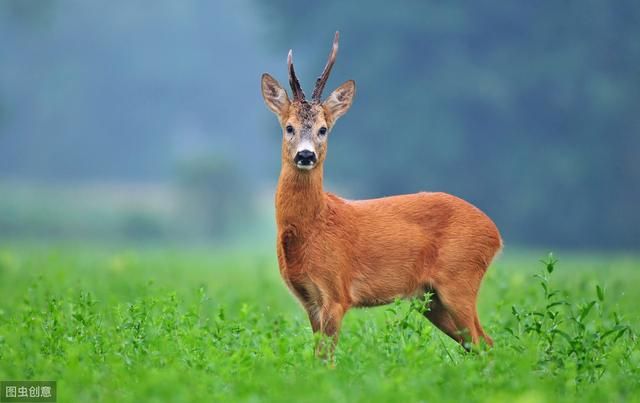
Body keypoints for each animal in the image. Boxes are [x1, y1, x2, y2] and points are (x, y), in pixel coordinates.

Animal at [260, 32, 500, 356]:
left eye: (323, 129)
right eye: (289, 127)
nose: (306, 155)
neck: (312, 225)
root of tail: (495, 233)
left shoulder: (337, 292)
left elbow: (326, 359)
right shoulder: (309, 300)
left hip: (459, 280)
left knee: (483, 342)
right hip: (431, 299)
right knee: (483, 343)